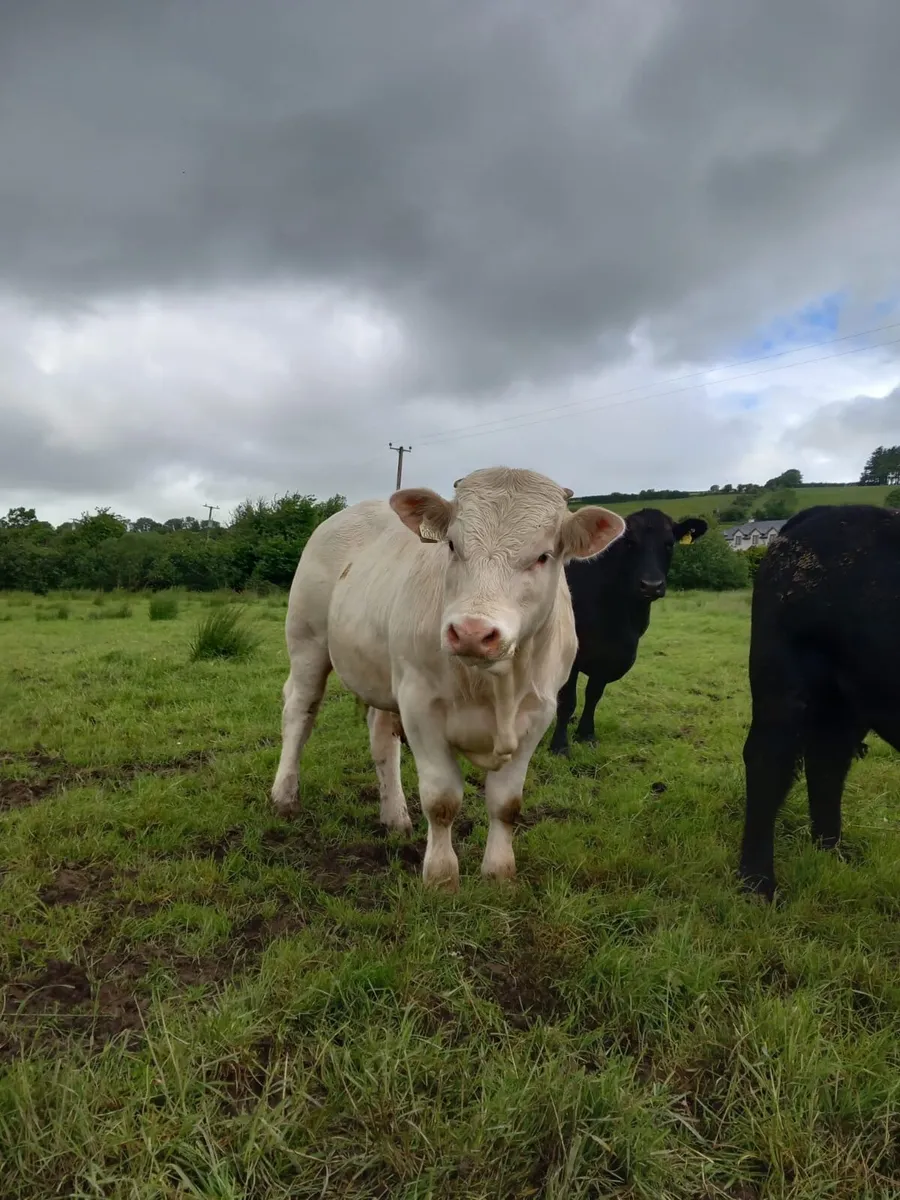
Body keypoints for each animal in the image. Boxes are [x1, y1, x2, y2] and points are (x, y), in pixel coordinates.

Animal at [270, 467, 626, 891]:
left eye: (543, 556)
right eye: (453, 546)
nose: (472, 632)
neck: (494, 687)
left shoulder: (538, 714)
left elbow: (507, 804)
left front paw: (499, 873)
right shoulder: (420, 706)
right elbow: (442, 800)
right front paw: (441, 878)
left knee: (381, 737)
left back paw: (395, 816)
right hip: (307, 642)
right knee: (299, 712)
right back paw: (284, 796)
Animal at [548, 508, 708, 756]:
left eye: (669, 544)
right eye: (630, 543)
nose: (651, 585)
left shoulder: (611, 657)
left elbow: (593, 695)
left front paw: (586, 734)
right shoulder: (570, 655)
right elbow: (568, 700)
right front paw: (559, 745)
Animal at [739, 504, 900, 900]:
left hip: (847, 698)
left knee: (827, 761)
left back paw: (831, 854)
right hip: (784, 677)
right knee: (769, 759)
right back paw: (757, 884)